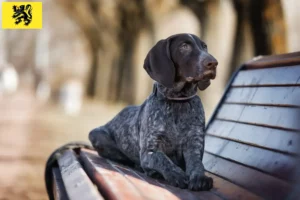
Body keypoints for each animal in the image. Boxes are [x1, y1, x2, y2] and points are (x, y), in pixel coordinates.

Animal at [89, 33, 218, 191]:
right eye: (184, 46)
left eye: (204, 47)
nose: (213, 63)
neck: (177, 101)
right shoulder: (149, 151)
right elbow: (162, 159)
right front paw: (176, 174)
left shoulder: (195, 145)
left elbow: (197, 164)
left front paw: (200, 177)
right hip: (97, 135)